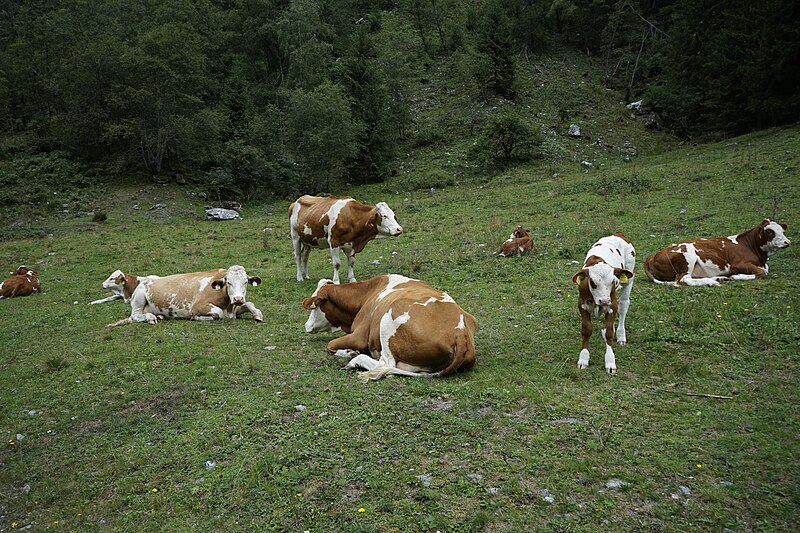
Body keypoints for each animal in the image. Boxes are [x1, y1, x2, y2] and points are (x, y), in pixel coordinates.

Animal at [106, 264, 260, 326]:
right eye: (228, 282)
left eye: (245, 282)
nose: (238, 298)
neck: (229, 307)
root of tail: (145, 280)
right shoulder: (197, 307)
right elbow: (218, 313)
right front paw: (197, 318)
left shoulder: (235, 307)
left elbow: (250, 303)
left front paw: (258, 316)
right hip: (139, 299)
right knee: (135, 316)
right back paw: (151, 318)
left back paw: (159, 316)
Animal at [300, 272, 476, 380]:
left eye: (315, 306)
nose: (306, 325)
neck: (366, 295)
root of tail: (460, 333)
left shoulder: (359, 336)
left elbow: (330, 345)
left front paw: (349, 352)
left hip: (390, 316)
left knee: (386, 364)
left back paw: (355, 360)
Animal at [572, 233, 636, 374]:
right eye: (592, 282)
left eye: (612, 281)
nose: (604, 300)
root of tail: (618, 234)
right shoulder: (582, 305)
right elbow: (587, 330)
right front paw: (583, 358)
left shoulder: (612, 305)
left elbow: (609, 333)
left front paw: (610, 361)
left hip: (629, 278)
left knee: (624, 305)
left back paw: (621, 335)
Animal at [640, 218, 792, 286]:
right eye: (769, 231)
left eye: (782, 230)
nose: (787, 242)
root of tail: (652, 256)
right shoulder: (737, 264)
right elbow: (763, 272)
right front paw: (736, 276)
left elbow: (765, 270)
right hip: (688, 256)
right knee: (684, 280)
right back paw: (713, 281)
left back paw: (718, 278)